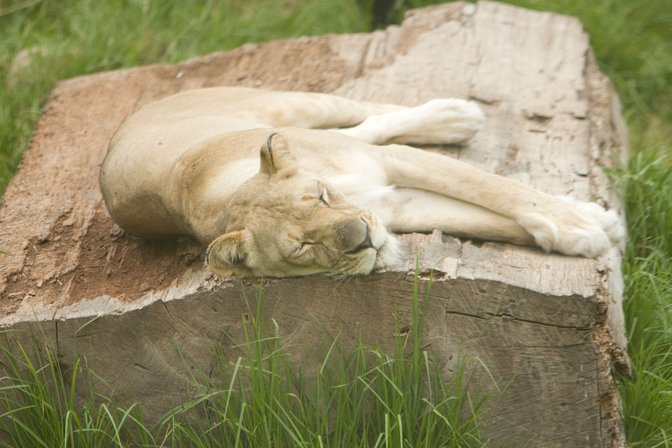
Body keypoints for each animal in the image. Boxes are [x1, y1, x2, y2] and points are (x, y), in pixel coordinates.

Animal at [100, 87, 624, 277]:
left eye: (320, 196)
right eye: (303, 247)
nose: (362, 239)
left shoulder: (392, 164)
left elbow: (496, 189)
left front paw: (580, 226)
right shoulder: (396, 205)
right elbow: (486, 218)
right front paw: (586, 229)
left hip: (293, 105)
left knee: (368, 112)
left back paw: (454, 116)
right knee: (364, 126)